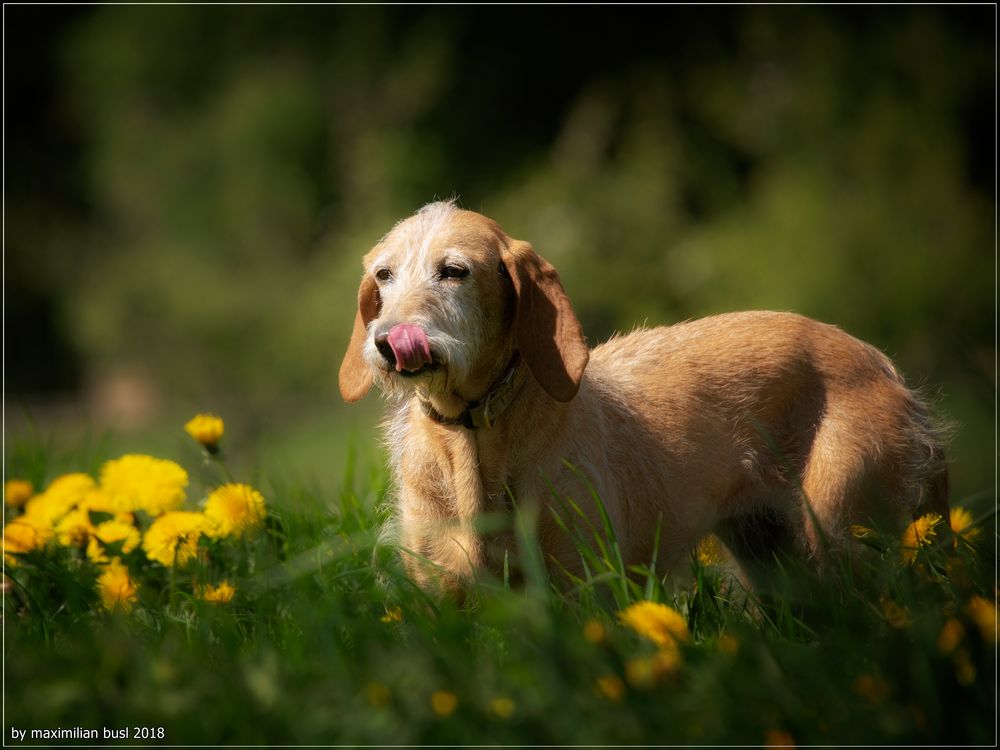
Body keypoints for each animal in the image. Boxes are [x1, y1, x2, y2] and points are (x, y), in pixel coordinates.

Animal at [340, 203, 948, 596]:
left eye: (454, 271)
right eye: (384, 275)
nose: (387, 342)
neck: (472, 435)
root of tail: (884, 365)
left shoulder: (587, 588)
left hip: (844, 530)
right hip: (770, 552)